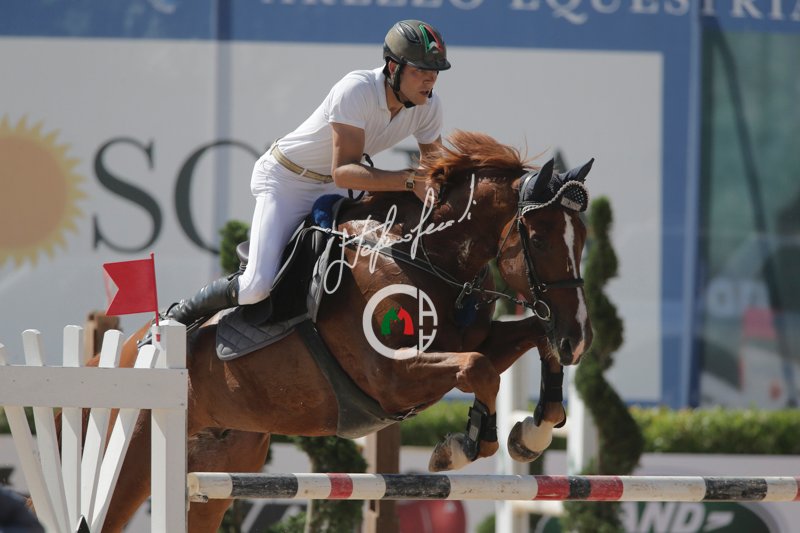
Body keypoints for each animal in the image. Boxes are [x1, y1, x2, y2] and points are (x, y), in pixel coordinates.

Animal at [89, 130, 594, 532]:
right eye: (540, 239)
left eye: (583, 238)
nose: (580, 338)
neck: (423, 256)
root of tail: (113, 356)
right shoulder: (391, 379)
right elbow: (479, 369)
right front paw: (459, 448)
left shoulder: (474, 342)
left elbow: (529, 340)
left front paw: (532, 433)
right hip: (131, 461)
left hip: (221, 465)